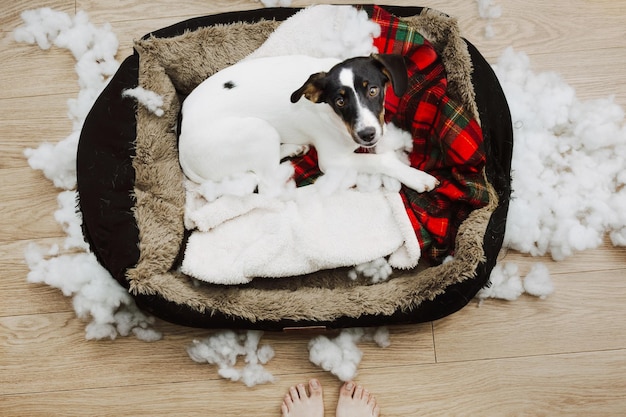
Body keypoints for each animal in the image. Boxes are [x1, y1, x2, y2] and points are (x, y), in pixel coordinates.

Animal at [178, 53, 436, 193]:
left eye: (373, 90)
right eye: (340, 101)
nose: (367, 135)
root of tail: (183, 154)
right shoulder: (332, 160)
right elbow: (380, 160)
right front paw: (417, 177)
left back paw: (293, 147)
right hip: (259, 129)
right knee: (268, 182)